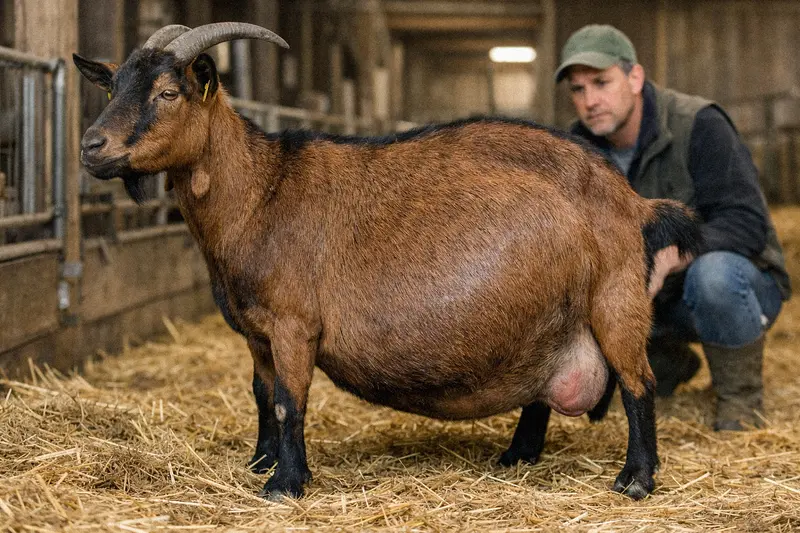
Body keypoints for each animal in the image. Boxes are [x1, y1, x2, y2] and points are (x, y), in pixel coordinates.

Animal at [74, 23, 701, 501]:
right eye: (113, 88)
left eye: (168, 93)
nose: (91, 147)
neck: (262, 191)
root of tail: (633, 199)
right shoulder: (256, 332)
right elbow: (261, 397)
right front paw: (260, 465)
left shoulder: (294, 324)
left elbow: (288, 403)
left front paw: (285, 486)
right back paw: (516, 456)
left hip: (615, 299)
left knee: (638, 383)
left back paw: (636, 480)